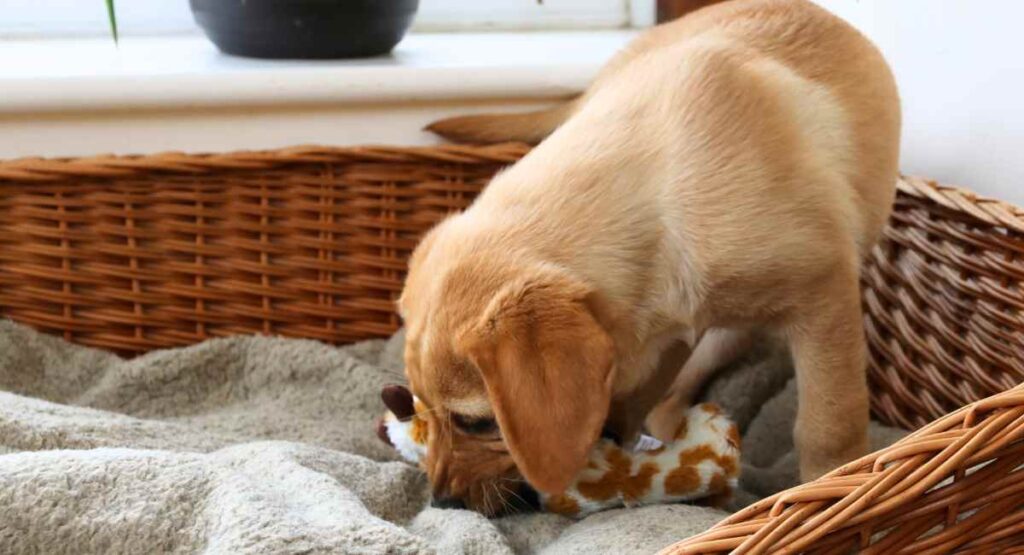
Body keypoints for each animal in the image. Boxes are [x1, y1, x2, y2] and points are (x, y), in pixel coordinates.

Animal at [397, 0, 897, 516]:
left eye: (477, 423)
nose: (441, 502)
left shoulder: (825, 298)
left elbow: (828, 426)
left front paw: (830, 486)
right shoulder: (652, 339)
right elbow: (634, 400)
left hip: (738, 328)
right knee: (673, 391)